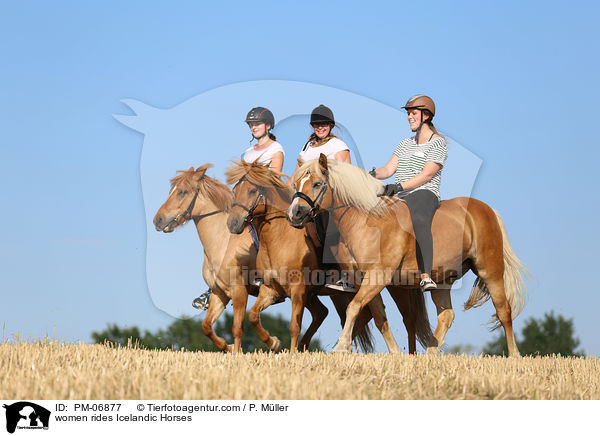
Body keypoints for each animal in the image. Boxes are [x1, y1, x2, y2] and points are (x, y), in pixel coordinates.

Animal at [152, 165, 378, 352]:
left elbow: (237, 326)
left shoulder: (240, 291)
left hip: (339, 291)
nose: (158, 220)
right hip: (317, 293)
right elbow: (206, 326)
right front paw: (228, 348)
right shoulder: (220, 293)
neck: (223, 242)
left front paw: (245, 350)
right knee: (324, 313)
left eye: (182, 192)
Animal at [226, 160, 432, 354]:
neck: (278, 237)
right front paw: (274, 343)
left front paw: (289, 351)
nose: (232, 223)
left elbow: (294, 326)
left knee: (402, 318)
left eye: (252, 190)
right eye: (235, 190)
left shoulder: (298, 289)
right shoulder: (271, 289)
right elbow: (253, 315)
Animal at [288, 155, 528, 356]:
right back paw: (430, 353)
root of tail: (486, 210)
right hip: (443, 280)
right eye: (296, 184)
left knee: (504, 311)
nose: (295, 215)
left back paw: (514, 355)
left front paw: (341, 346)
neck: (366, 220)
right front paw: (395, 353)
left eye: (317, 184)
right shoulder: (362, 279)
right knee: (446, 315)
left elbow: (354, 307)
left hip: (490, 271)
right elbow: (378, 316)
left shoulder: (378, 276)